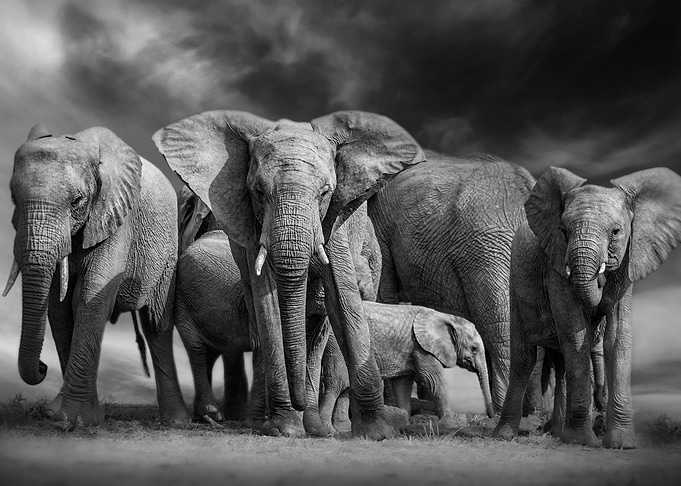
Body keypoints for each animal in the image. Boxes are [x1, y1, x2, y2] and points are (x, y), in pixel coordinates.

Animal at [3, 124, 189, 428]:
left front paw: (77, 421)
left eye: (77, 201)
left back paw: (177, 422)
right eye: (12, 199)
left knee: (156, 324)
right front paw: (55, 414)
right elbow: (58, 308)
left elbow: (88, 297)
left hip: (168, 252)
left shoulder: (117, 218)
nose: (42, 367)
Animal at [154, 110, 425, 439]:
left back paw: (312, 424)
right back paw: (258, 420)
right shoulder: (252, 231)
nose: (297, 404)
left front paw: (376, 432)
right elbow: (268, 306)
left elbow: (342, 299)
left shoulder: (333, 221)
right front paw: (284, 428)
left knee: (317, 329)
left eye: (325, 193)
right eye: (258, 192)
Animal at [492, 166, 681, 449]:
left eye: (616, 231)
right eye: (563, 230)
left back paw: (557, 434)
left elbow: (617, 339)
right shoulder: (556, 262)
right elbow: (575, 333)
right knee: (524, 357)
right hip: (514, 279)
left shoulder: (629, 262)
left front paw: (622, 444)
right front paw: (582, 441)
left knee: (560, 363)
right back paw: (504, 435)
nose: (599, 282)